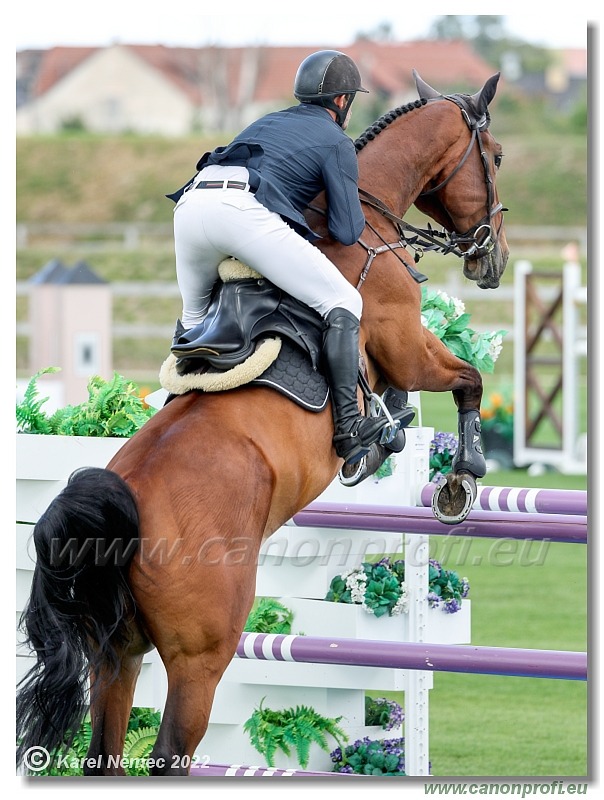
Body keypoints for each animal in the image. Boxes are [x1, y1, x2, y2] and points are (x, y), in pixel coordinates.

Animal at [16, 70, 508, 776]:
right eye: (494, 157)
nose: (491, 261)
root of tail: (115, 509)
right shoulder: (405, 345)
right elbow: (469, 379)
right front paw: (458, 479)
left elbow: (426, 393)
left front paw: (394, 439)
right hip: (200, 657)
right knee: (169, 753)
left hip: (116, 653)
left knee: (102, 754)